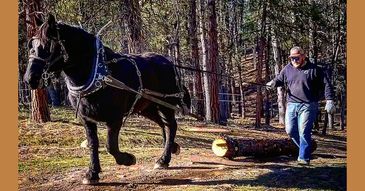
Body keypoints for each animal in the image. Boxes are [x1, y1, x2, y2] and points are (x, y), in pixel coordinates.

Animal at [23, 14, 191, 184]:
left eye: (48, 46)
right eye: (32, 45)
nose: (30, 78)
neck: (98, 73)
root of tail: (169, 62)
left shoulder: (114, 118)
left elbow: (111, 146)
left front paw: (128, 159)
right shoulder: (86, 119)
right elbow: (93, 144)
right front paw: (92, 173)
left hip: (166, 104)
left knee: (171, 125)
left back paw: (163, 159)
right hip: (147, 107)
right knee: (163, 125)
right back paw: (172, 148)